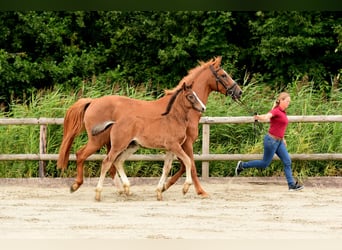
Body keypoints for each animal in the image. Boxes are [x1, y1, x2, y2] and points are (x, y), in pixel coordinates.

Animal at [56, 56, 243, 197]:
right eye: (223, 75)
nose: (239, 91)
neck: (181, 112)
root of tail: (92, 101)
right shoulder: (186, 143)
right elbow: (191, 165)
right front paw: (199, 191)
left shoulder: (177, 145)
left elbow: (181, 165)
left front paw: (165, 187)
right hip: (99, 141)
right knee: (83, 155)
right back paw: (78, 185)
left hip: (114, 143)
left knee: (112, 163)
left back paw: (122, 189)